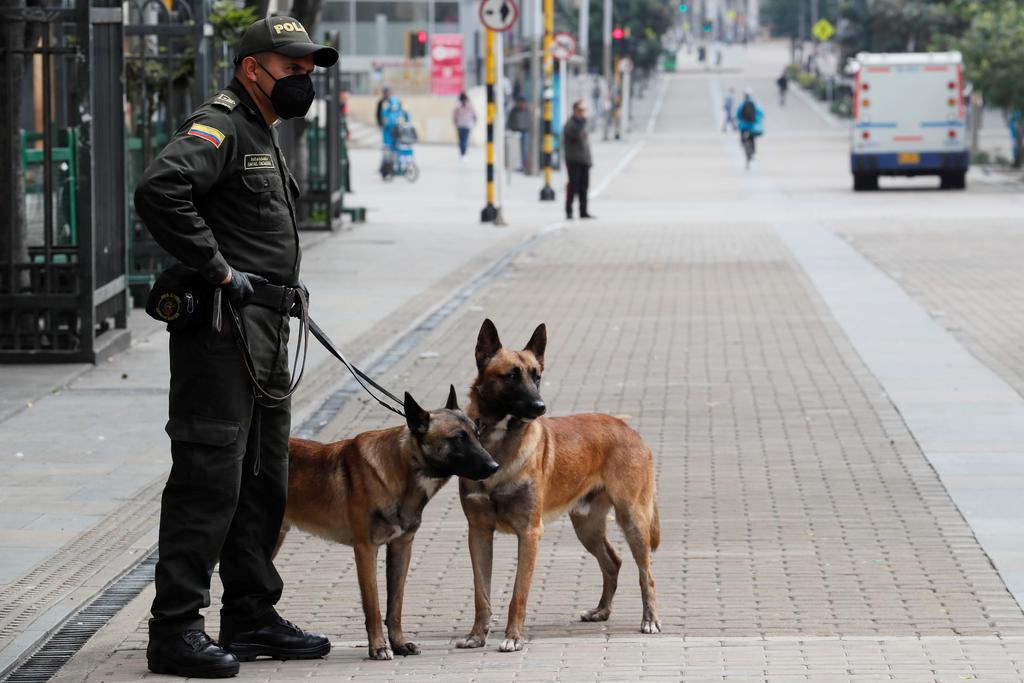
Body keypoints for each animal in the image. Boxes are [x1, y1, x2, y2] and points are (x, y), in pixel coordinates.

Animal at [277, 387, 499, 660]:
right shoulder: (365, 550)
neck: (402, 468)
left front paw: (399, 644)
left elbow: (395, 605)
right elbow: (373, 606)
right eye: (458, 438)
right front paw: (379, 647)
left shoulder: (401, 547)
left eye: (477, 435)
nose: (494, 466)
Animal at [456, 319, 661, 652]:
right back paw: (601, 610)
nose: (540, 406)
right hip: (586, 525)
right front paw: (476, 635)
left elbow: (518, 594)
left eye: (537, 375)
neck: (499, 443)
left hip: (633, 520)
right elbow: (481, 594)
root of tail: (627, 427)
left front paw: (513, 637)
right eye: (511, 376)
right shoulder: (479, 532)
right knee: (612, 562)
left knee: (646, 574)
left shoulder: (529, 533)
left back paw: (650, 619)